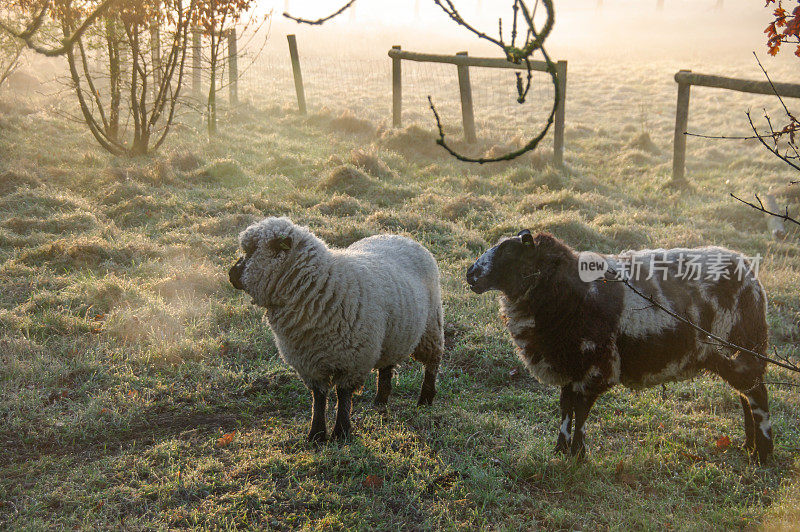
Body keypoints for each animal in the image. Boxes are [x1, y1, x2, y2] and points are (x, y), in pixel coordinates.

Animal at [230, 216, 444, 440]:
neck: (323, 285)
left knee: (432, 362)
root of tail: (400, 236)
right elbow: (319, 397)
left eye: (253, 250)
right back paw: (380, 401)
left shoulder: (353, 359)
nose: (230, 274)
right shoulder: (308, 362)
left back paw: (425, 399)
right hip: (392, 336)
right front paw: (316, 434)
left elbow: (343, 395)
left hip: (431, 326)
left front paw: (341, 431)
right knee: (386, 367)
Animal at [466, 230, 772, 462]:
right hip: (728, 355)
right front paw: (561, 450)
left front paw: (577, 454)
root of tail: (749, 270)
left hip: (742, 348)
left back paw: (763, 452)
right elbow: (566, 407)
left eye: (508, 252)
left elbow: (581, 410)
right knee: (745, 394)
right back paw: (748, 444)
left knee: (757, 394)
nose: (470, 274)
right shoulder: (572, 364)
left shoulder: (597, 367)